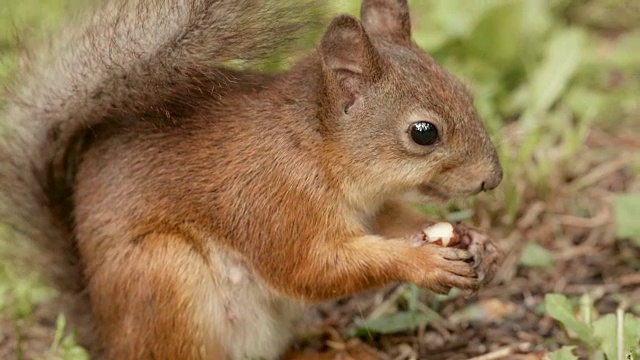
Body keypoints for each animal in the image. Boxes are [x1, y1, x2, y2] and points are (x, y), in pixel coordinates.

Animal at [0, 0, 504, 360]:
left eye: (463, 90)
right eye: (423, 132)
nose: (493, 180)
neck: (316, 148)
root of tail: (106, 337)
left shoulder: (372, 208)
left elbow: (394, 223)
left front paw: (478, 240)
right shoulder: (274, 199)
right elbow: (312, 268)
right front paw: (424, 264)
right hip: (163, 276)